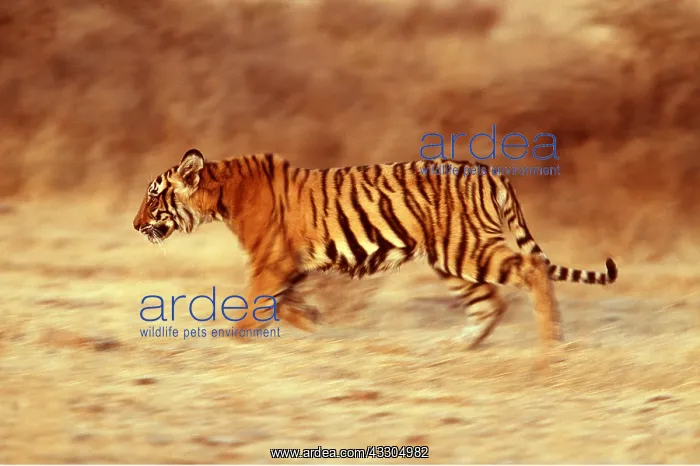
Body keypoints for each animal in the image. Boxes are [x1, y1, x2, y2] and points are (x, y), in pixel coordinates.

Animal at [132, 148, 618, 349]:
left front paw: (233, 339)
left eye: (153, 197)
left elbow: (253, 303)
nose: (135, 225)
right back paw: (462, 344)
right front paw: (313, 322)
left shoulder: (272, 261)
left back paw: (552, 339)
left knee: (531, 268)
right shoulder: (288, 265)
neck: (220, 193)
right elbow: (282, 302)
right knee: (490, 302)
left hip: (466, 249)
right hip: (452, 259)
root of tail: (487, 169)